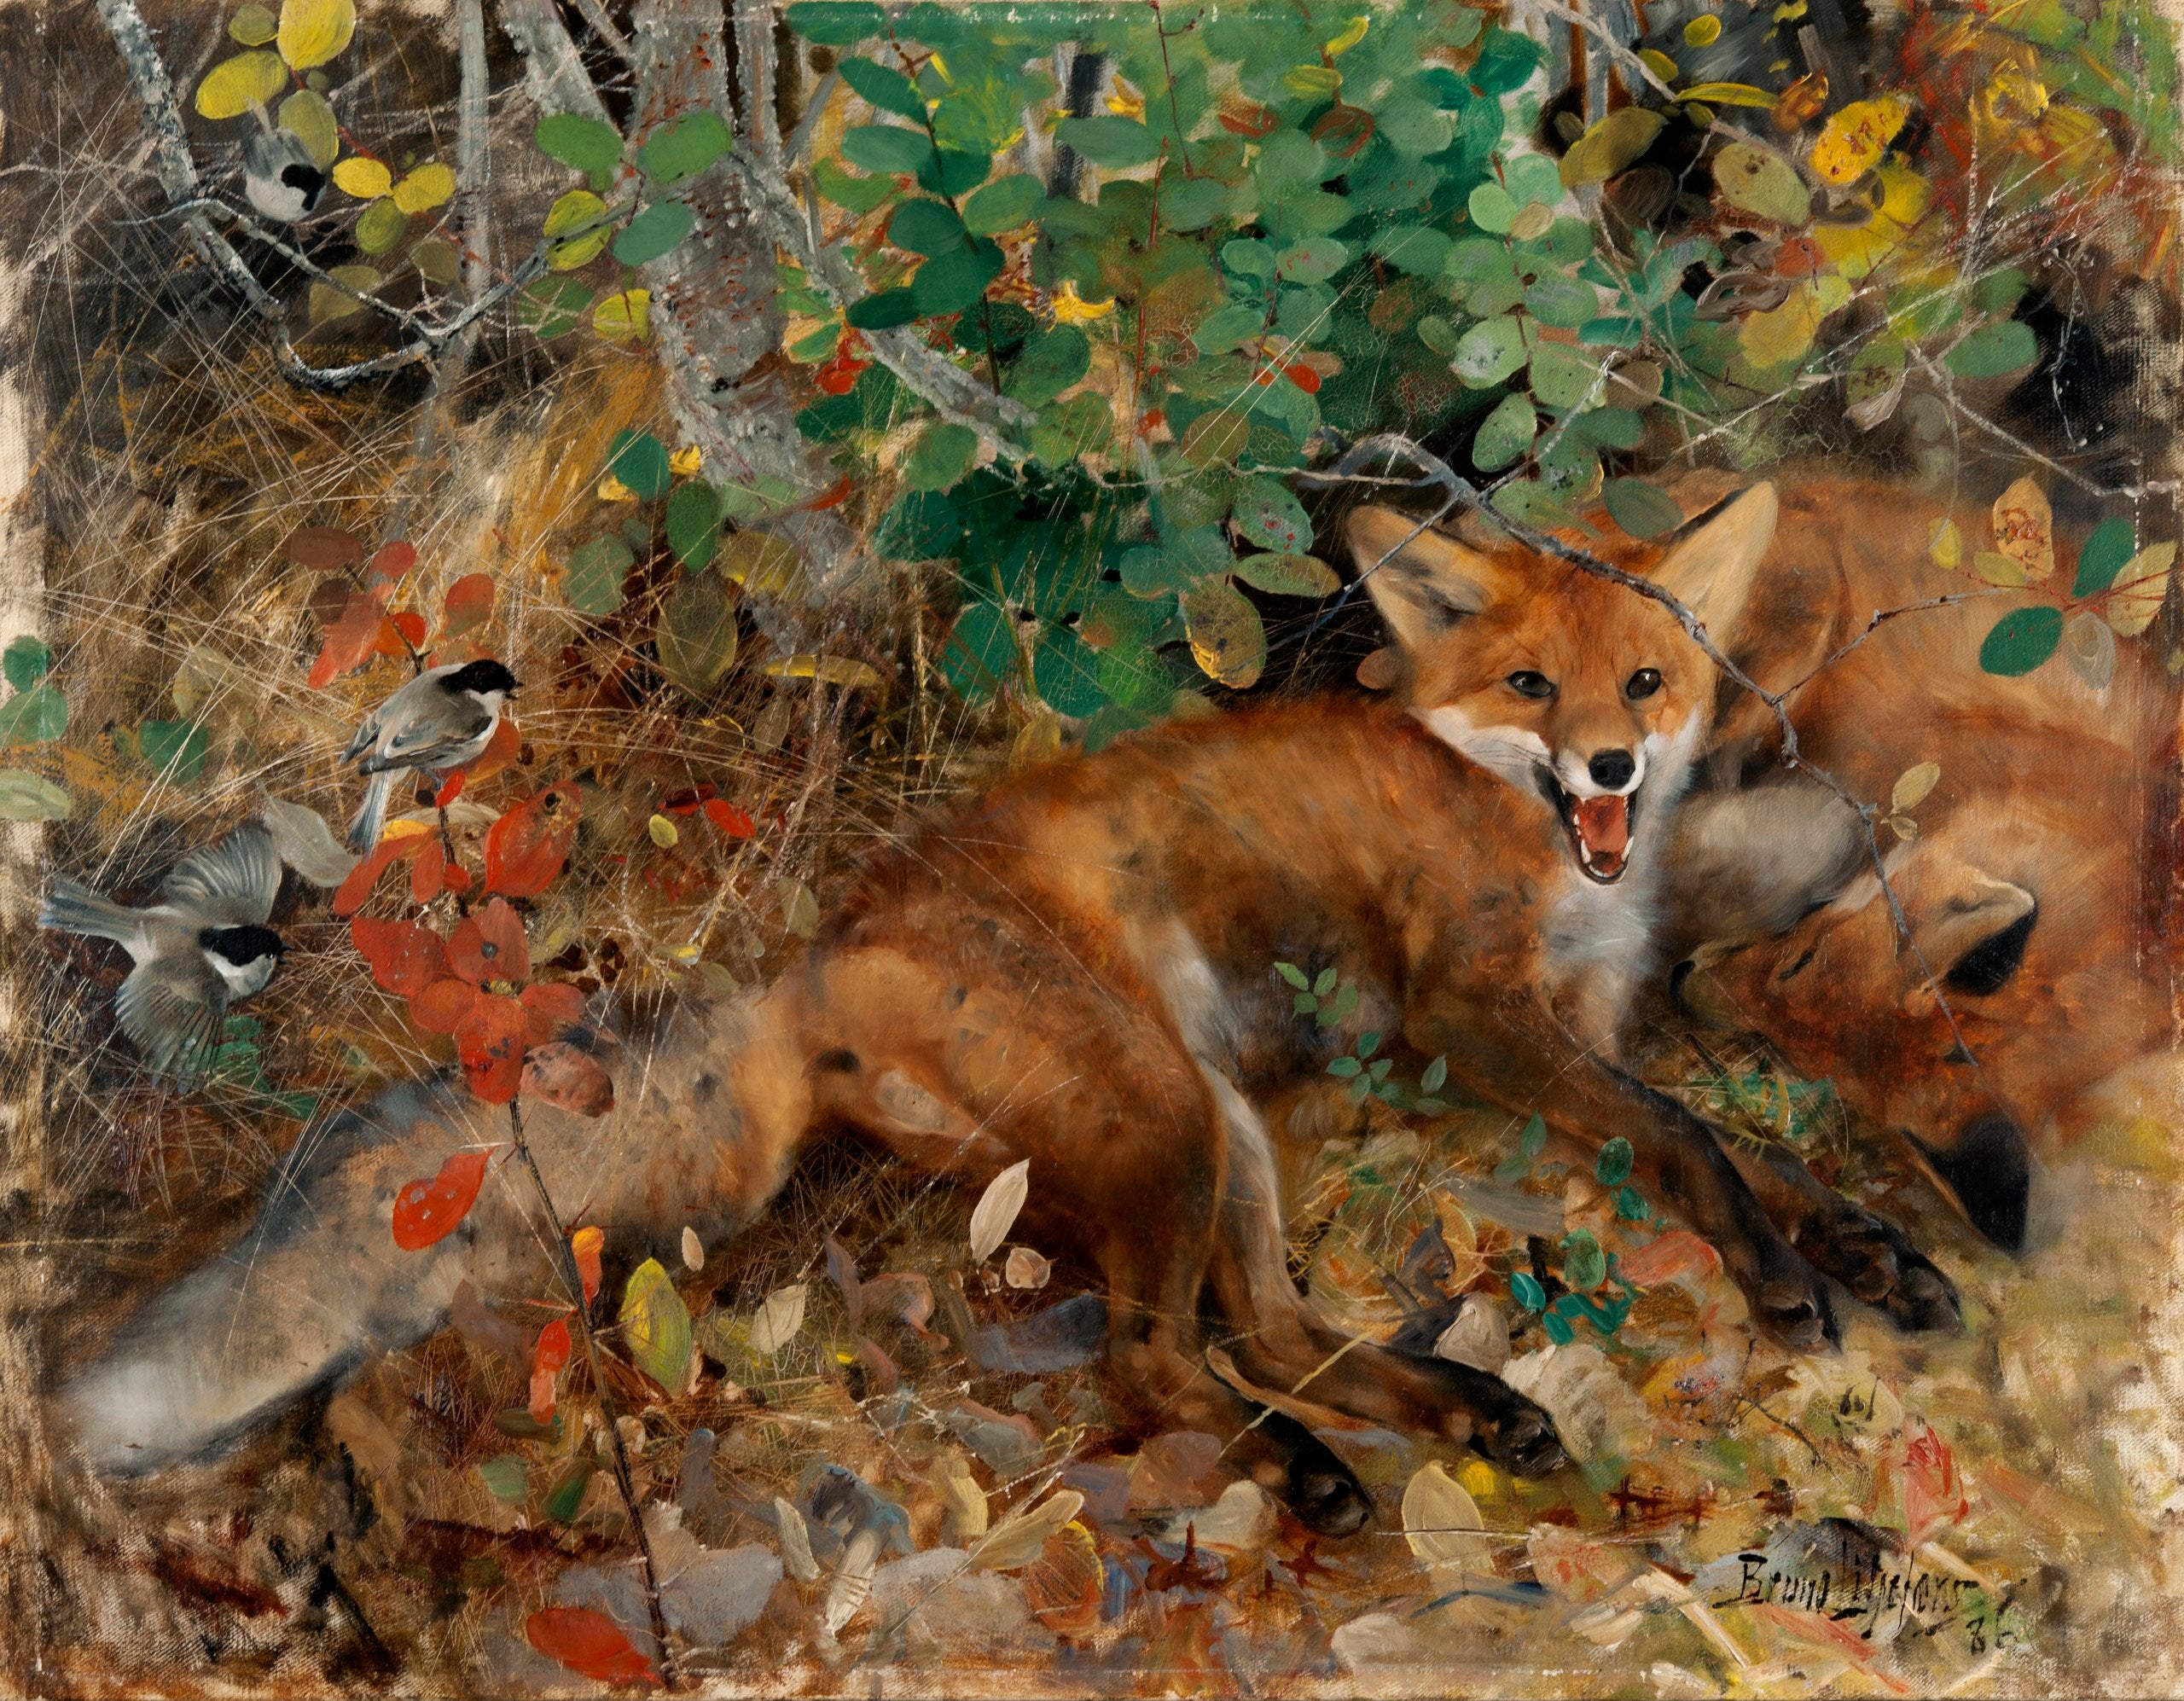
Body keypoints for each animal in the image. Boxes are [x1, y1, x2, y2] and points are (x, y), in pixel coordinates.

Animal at [56, 481, 1871, 1535]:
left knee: (1274, 1330)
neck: (1537, 838)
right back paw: (1305, 1472)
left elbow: (1759, 1147)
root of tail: (811, 955)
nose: (1616, 765)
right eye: (1532, 687)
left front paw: (1873, 1250)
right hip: (1165, 1118)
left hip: (1212, 1124)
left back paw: (1463, 1407)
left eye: (1647, 681)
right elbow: (1693, 1137)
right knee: (1159, 1358)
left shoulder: (1590, 1021)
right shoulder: (1477, 1016)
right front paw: (1788, 1277)